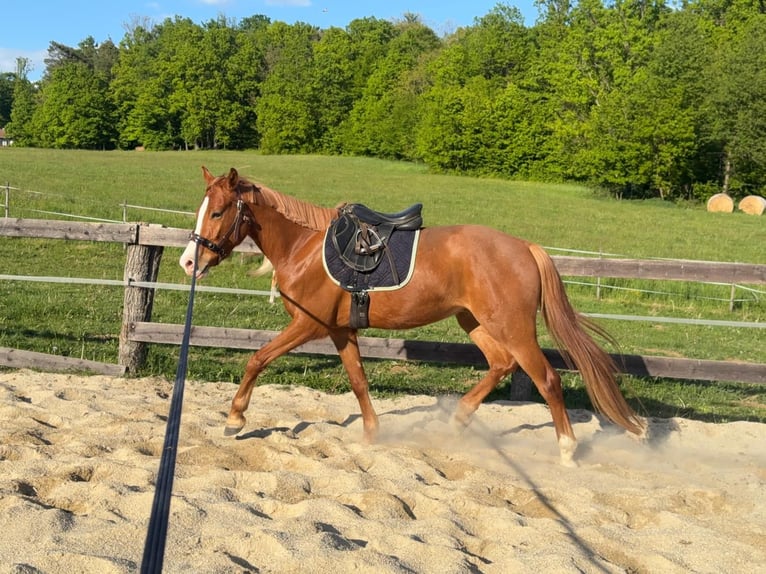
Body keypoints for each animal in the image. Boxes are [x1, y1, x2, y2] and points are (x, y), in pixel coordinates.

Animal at [179, 167, 645, 466]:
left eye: (218, 212)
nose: (188, 262)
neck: (305, 248)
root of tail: (525, 247)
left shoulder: (309, 325)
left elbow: (257, 359)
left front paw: (235, 419)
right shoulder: (339, 330)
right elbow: (359, 381)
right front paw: (372, 435)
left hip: (511, 327)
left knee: (546, 378)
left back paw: (566, 451)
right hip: (474, 322)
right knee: (501, 363)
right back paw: (457, 420)